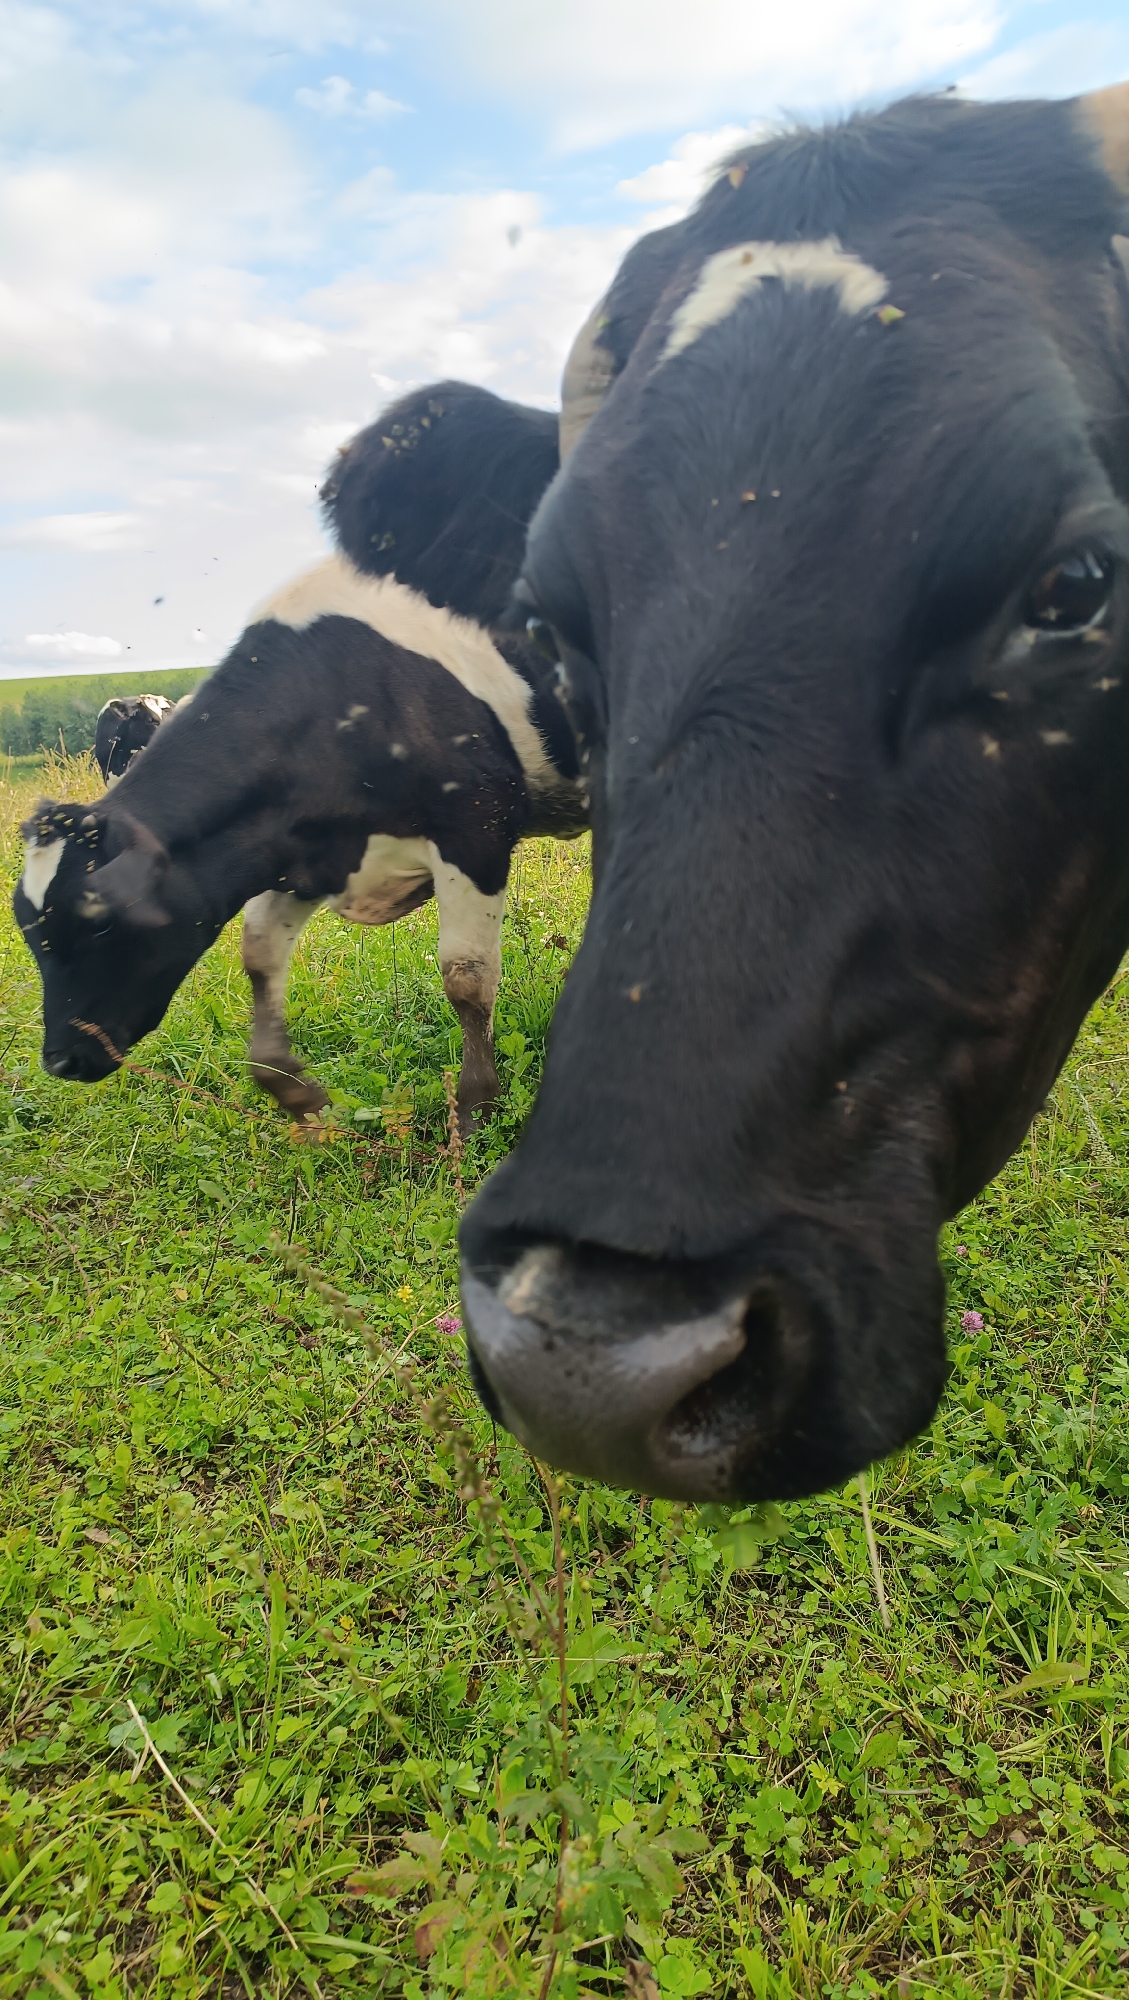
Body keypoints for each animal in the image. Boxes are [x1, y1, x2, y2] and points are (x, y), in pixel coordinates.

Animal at [13, 382, 586, 1134]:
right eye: (28, 929)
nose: (59, 1060)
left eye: (100, 921)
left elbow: (465, 979)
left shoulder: (476, 831)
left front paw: (475, 1109)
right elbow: (258, 956)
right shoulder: (296, 848)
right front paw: (294, 1093)